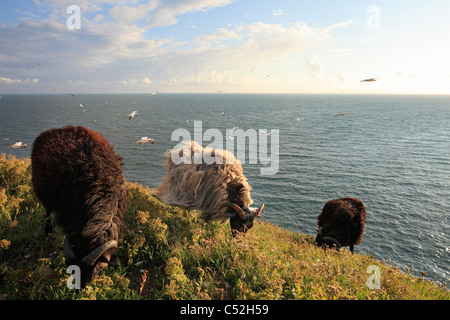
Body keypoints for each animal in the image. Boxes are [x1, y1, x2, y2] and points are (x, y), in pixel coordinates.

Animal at [31, 125, 128, 288]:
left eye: (94, 267)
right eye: (71, 267)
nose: (79, 288)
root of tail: (57, 129)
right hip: (42, 190)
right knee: (47, 212)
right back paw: (48, 230)